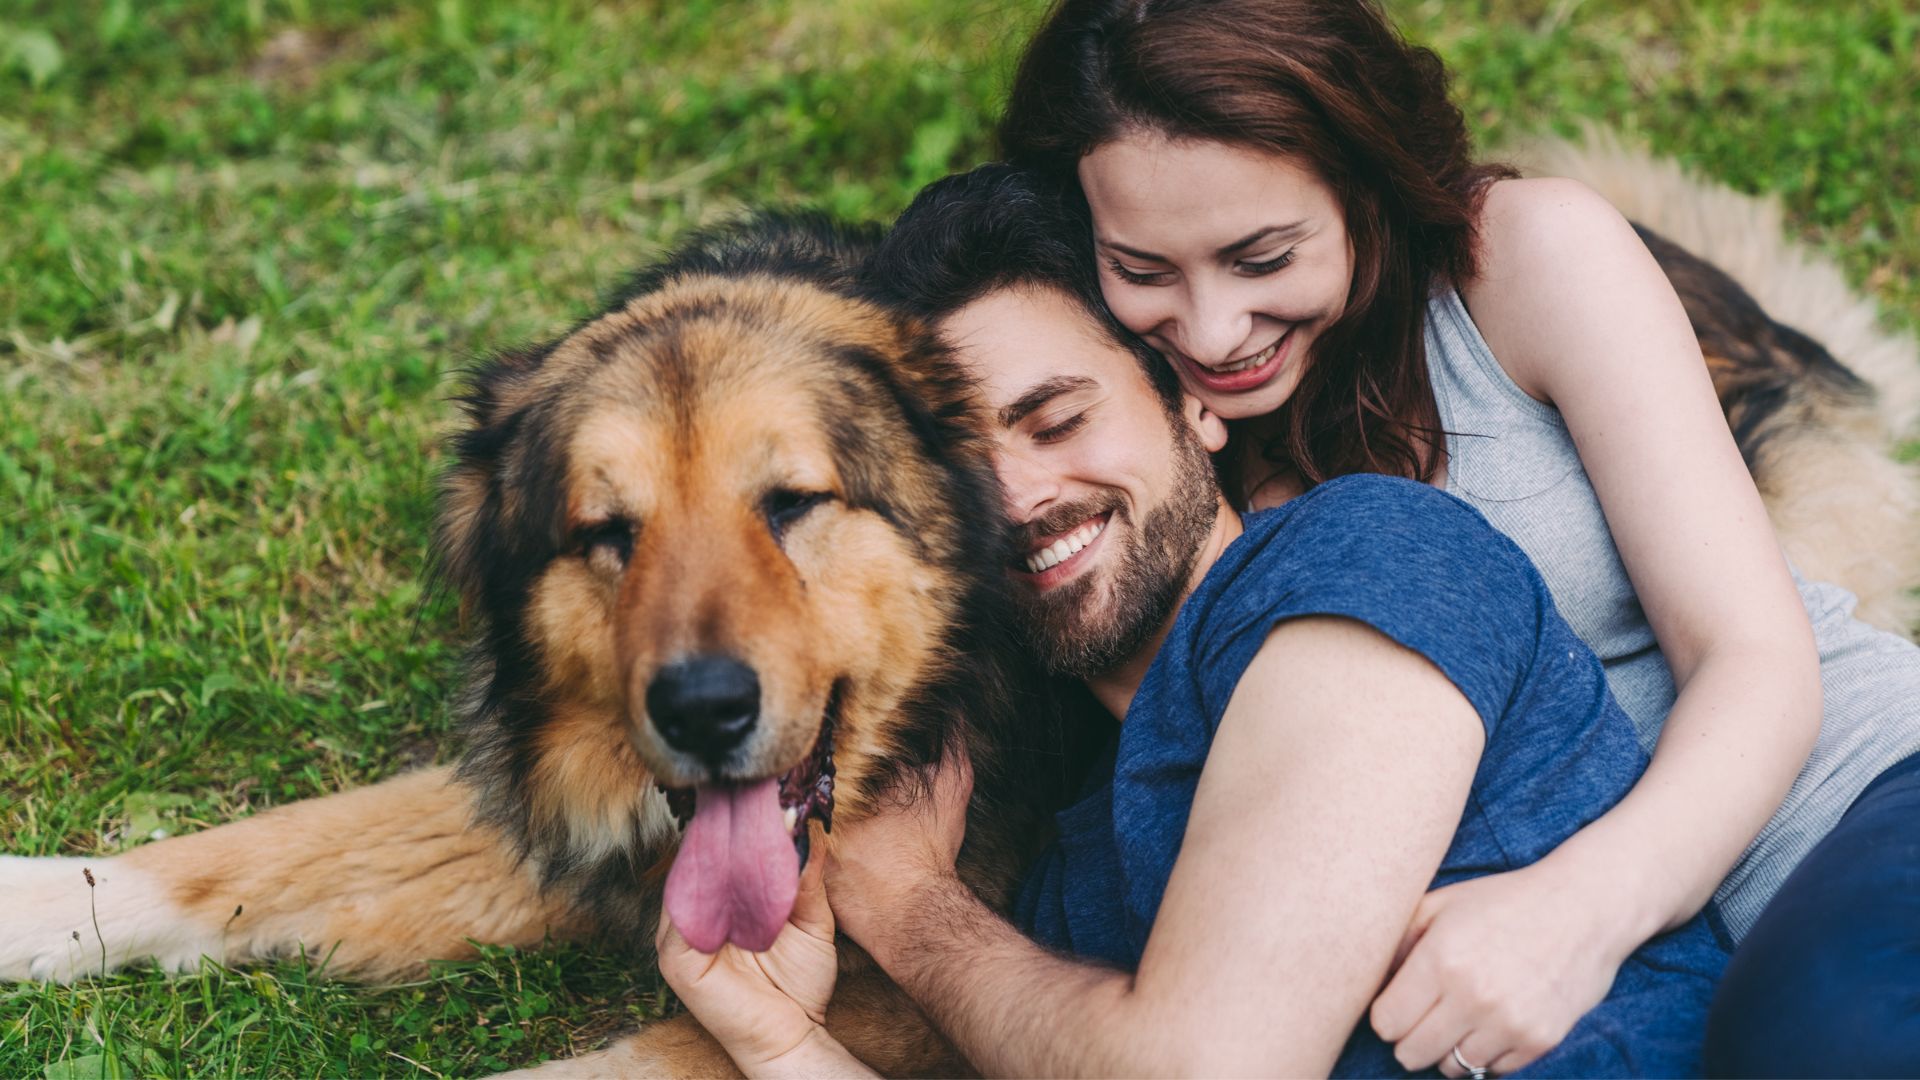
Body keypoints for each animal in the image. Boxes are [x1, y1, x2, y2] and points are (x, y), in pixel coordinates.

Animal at [3, 168, 1920, 1068]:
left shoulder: (918, 1016)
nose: (701, 711)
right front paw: (38, 909)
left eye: (794, 502)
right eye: (604, 535)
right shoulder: (575, 802)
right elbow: (266, 846)